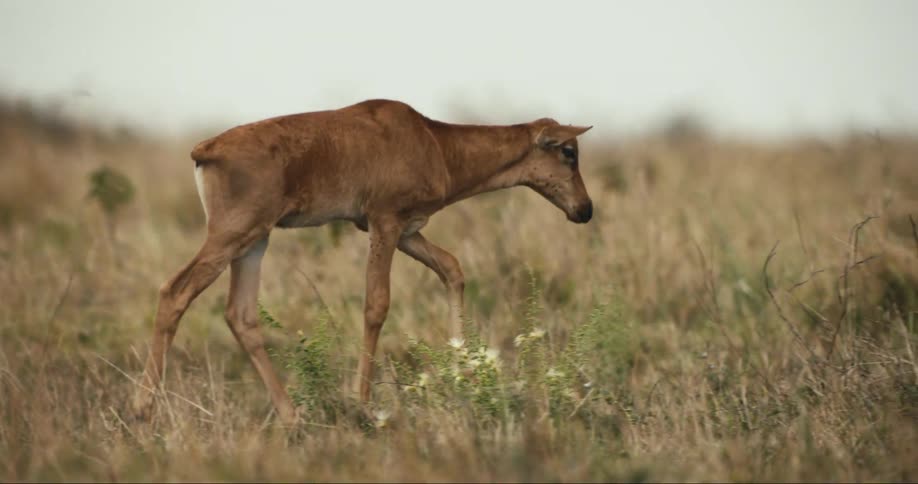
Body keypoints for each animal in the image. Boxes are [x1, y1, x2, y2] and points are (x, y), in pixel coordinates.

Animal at [133, 99, 593, 424]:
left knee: (240, 315)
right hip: (231, 236)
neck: (430, 138)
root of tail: (205, 149)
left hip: (255, 242)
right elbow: (376, 305)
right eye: (568, 151)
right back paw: (143, 410)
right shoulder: (384, 222)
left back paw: (293, 417)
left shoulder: (405, 231)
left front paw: (463, 373)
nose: (585, 210)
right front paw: (363, 403)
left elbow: (452, 268)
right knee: (174, 292)